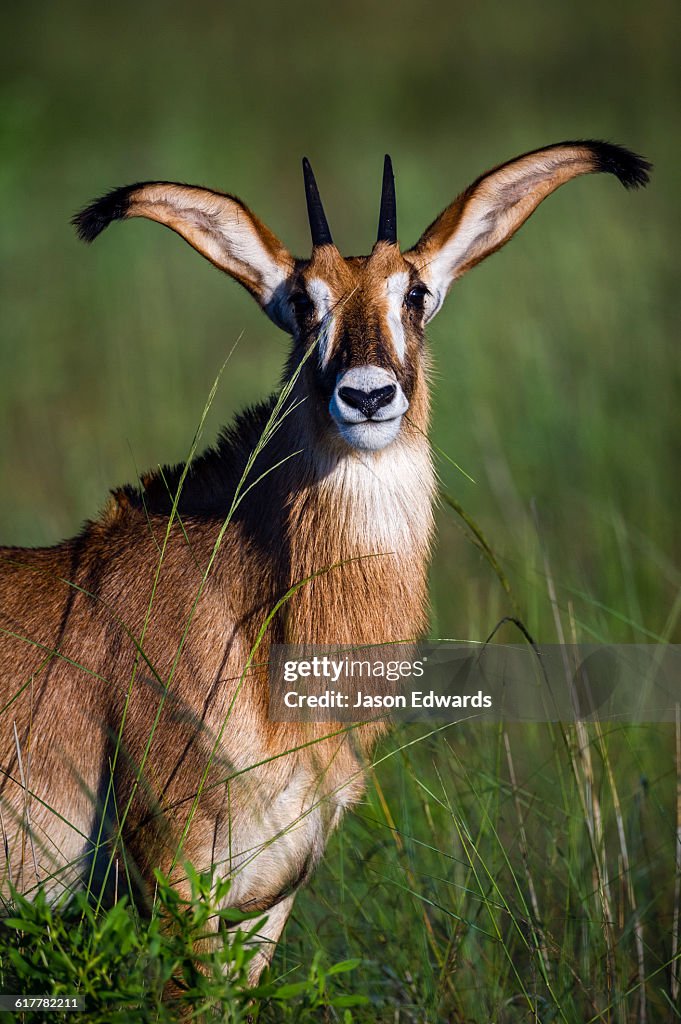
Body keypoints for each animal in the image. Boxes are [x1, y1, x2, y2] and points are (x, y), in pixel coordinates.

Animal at [0, 141, 649, 981]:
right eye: (303, 303)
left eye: (414, 293)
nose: (367, 397)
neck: (252, 625)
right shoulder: (174, 879)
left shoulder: (264, 902)